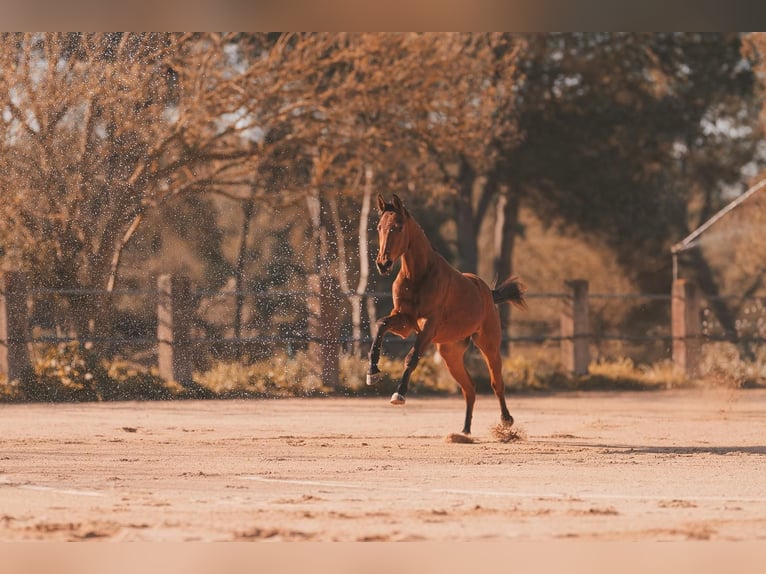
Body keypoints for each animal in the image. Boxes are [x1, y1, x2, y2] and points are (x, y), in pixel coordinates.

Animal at [366, 194, 527, 436]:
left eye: (398, 226)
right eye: (379, 227)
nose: (383, 264)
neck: (418, 276)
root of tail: (488, 292)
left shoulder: (428, 325)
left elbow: (412, 357)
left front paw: (399, 394)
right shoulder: (404, 320)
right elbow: (381, 324)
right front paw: (373, 371)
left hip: (488, 344)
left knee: (496, 382)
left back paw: (506, 420)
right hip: (450, 353)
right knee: (469, 388)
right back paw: (465, 431)